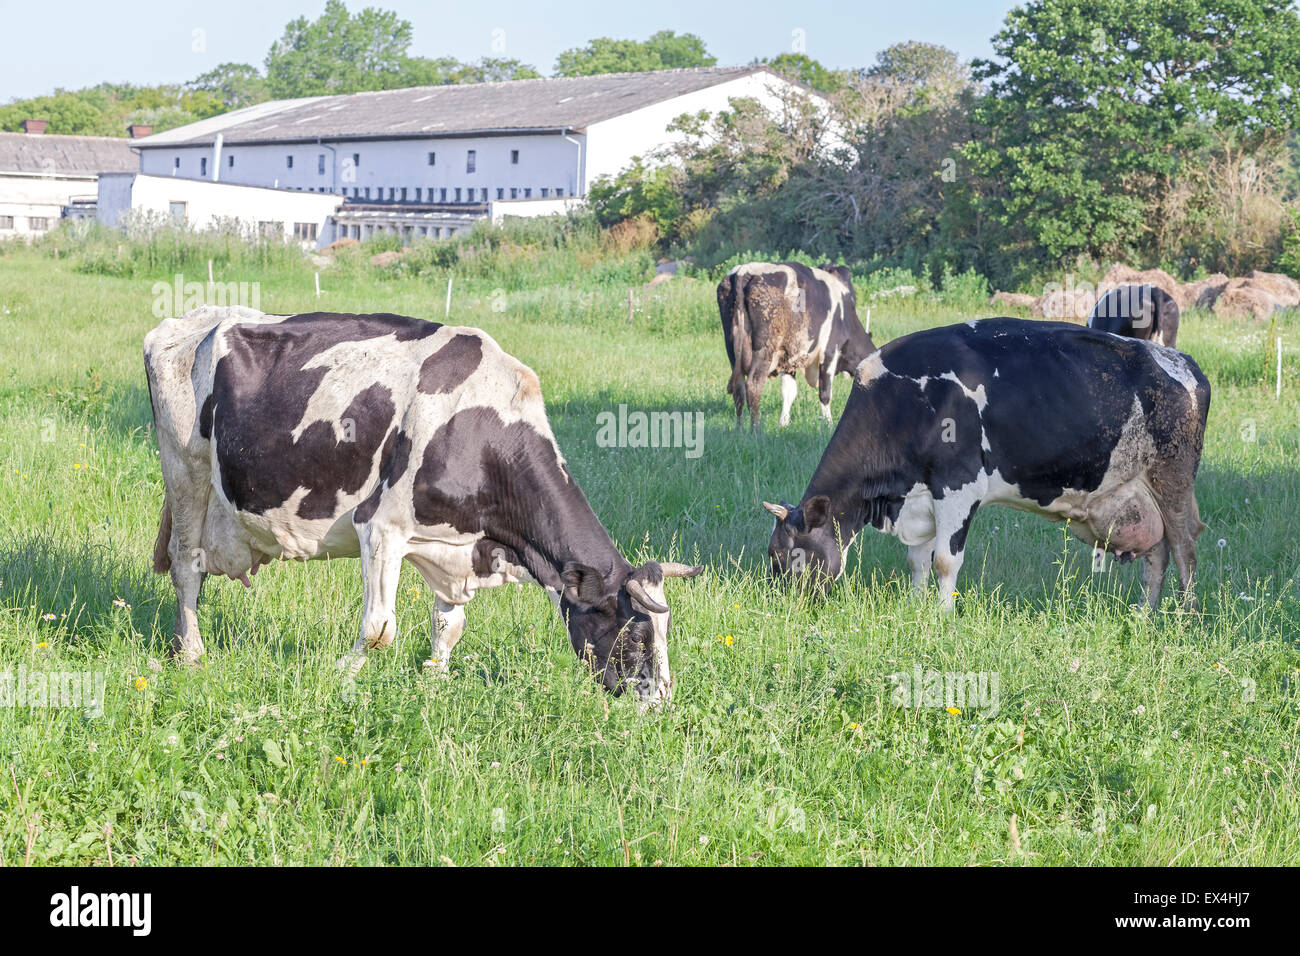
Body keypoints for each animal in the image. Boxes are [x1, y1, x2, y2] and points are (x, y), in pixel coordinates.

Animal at [144, 310, 702, 707]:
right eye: (635, 631)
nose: (659, 705)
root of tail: (189, 319)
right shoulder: (380, 528)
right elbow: (379, 630)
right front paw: (342, 677)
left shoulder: (455, 547)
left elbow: (448, 625)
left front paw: (433, 681)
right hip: (187, 472)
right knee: (186, 566)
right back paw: (191, 654)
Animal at [717, 260, 878, 429]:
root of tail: (744, 271)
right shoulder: (830, 351)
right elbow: (825, 392)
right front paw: (829, 424)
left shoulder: (789, 357)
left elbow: (789, 392)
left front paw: (783, 424)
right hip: (764, 351)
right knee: (753, 385)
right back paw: (756, 429)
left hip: (732, 349)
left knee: (739, 388)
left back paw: (739, 429)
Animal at [759, 317, 1206, 608]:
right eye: (773, 558)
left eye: (792, 558)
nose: (785, 609)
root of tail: (1182, 361)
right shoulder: (921, 496)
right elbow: (917, 560)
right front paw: (916, 608)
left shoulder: (958, 486)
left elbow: (944, 561)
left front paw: (941, 616)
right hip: (1138, 494)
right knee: (1157, 555)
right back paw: (1145, 615)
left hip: (1173, 481)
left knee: (1185, 549)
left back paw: (1183, 619)